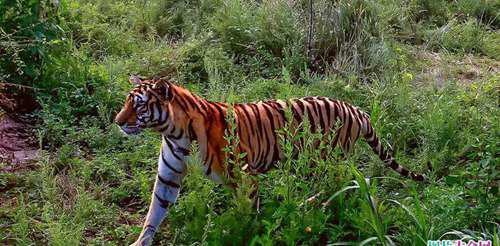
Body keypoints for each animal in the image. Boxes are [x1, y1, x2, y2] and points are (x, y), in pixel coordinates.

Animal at [115, 75, 424, 246]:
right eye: (127, 102)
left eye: (139, 105)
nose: (117, 122)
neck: (173, 133)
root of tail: (356, 109)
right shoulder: (168, 176)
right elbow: (154, 212)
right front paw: (140, 242)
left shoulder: (245, 175)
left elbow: (248, 214)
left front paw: (246, 233)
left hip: (324, 160)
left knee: (339, 183)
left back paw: (315, 206)